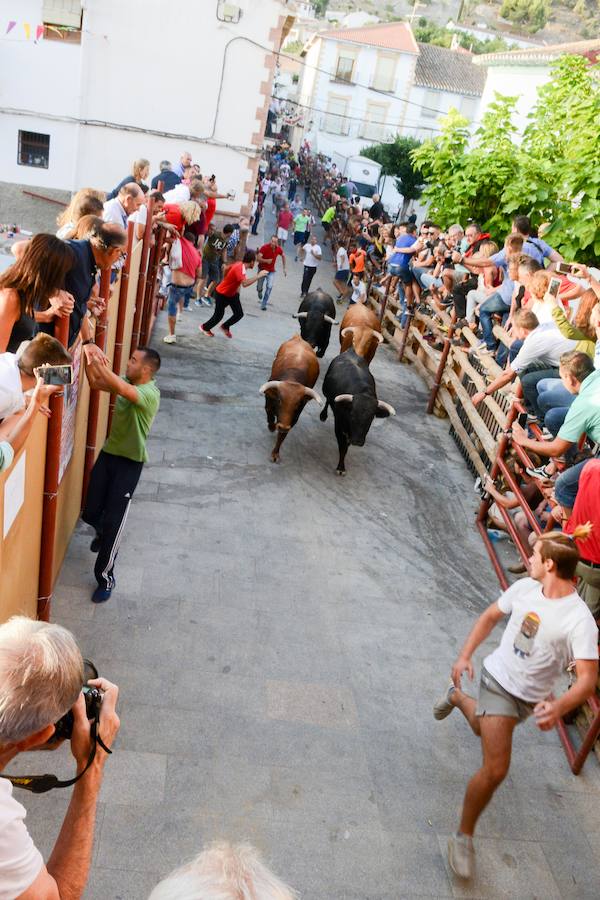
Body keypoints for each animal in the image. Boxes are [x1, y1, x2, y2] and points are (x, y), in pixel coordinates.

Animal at [258, 336, 322, 464]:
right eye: (279, 400)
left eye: (297, 405)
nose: (282, 426)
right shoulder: (269, 400)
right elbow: (269, 412)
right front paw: (271, 427)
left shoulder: (292, 419)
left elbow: (283, 434)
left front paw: (275, 453)